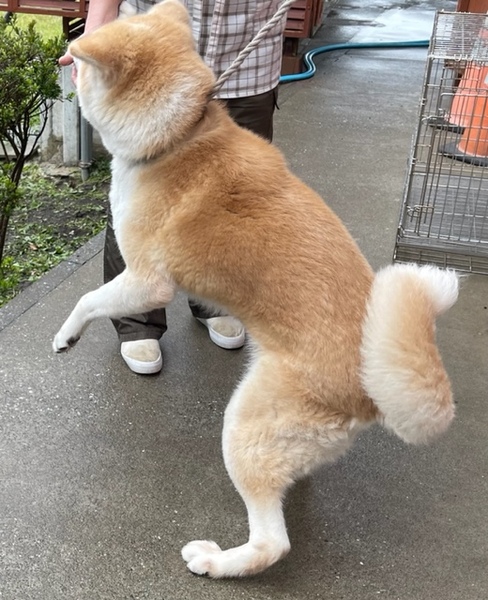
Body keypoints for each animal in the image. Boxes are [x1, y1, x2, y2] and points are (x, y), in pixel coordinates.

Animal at [53, 0, 459, 579]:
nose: (66, 56)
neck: (179, 136)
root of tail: (370, 391)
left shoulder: (147, 281)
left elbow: (88, 299)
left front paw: (66, 336)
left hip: (242, 427)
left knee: (273, 542)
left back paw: (216, 561)